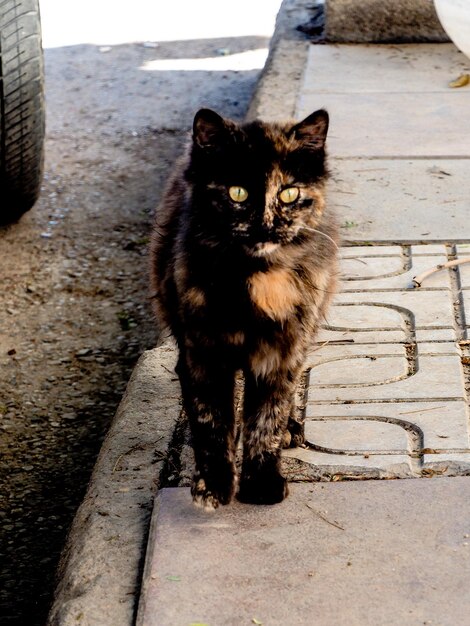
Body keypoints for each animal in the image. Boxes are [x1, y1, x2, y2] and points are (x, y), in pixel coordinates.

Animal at [151, 107, 338, 508]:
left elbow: (267, 420)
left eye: (289, 193)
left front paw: (262, 482)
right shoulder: (202, 357)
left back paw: (292, 428)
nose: (265, 226)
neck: (258, 278)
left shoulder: (281, 356)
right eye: (238, 192)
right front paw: (215, 484)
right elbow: (211, 423)